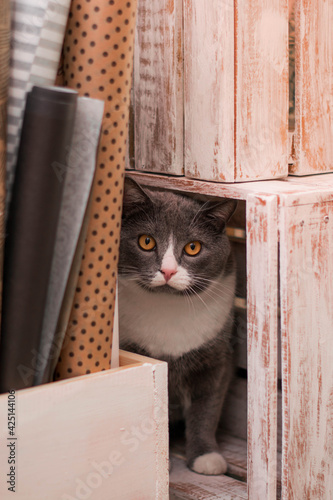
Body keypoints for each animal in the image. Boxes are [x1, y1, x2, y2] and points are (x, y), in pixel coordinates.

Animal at [118, 178, 235, 474]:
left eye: (193, 247)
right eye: (146, 241)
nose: (168, 271)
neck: (169, 307)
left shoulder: (216, 359)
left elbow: (207, 407)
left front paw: (206, 456)